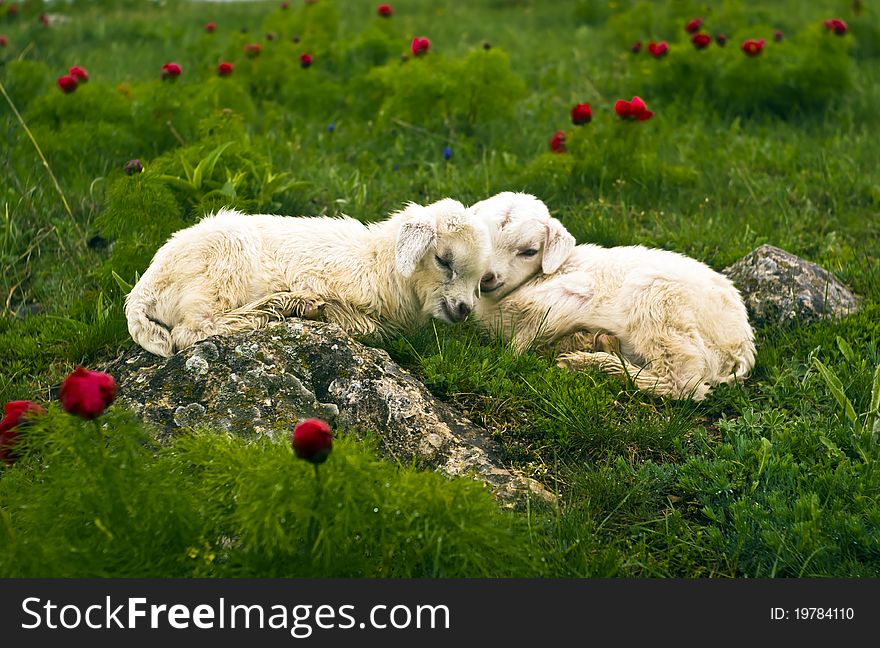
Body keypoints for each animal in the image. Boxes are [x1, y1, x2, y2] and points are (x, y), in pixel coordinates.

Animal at [127, 200, 492, 356]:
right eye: (443, 260)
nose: (463, 309)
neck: (379, 263)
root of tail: (143, 290)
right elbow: (368, 326)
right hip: (222, 266)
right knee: (192, 331)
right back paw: (279, 306)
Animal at [474, 191, 756, 400]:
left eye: (529, 251)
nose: (487, 278)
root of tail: (740, 346)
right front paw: (579, 340)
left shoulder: (573, 292)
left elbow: (527, 336)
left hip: (657, 305)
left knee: (683, 383)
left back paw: (589, 362)